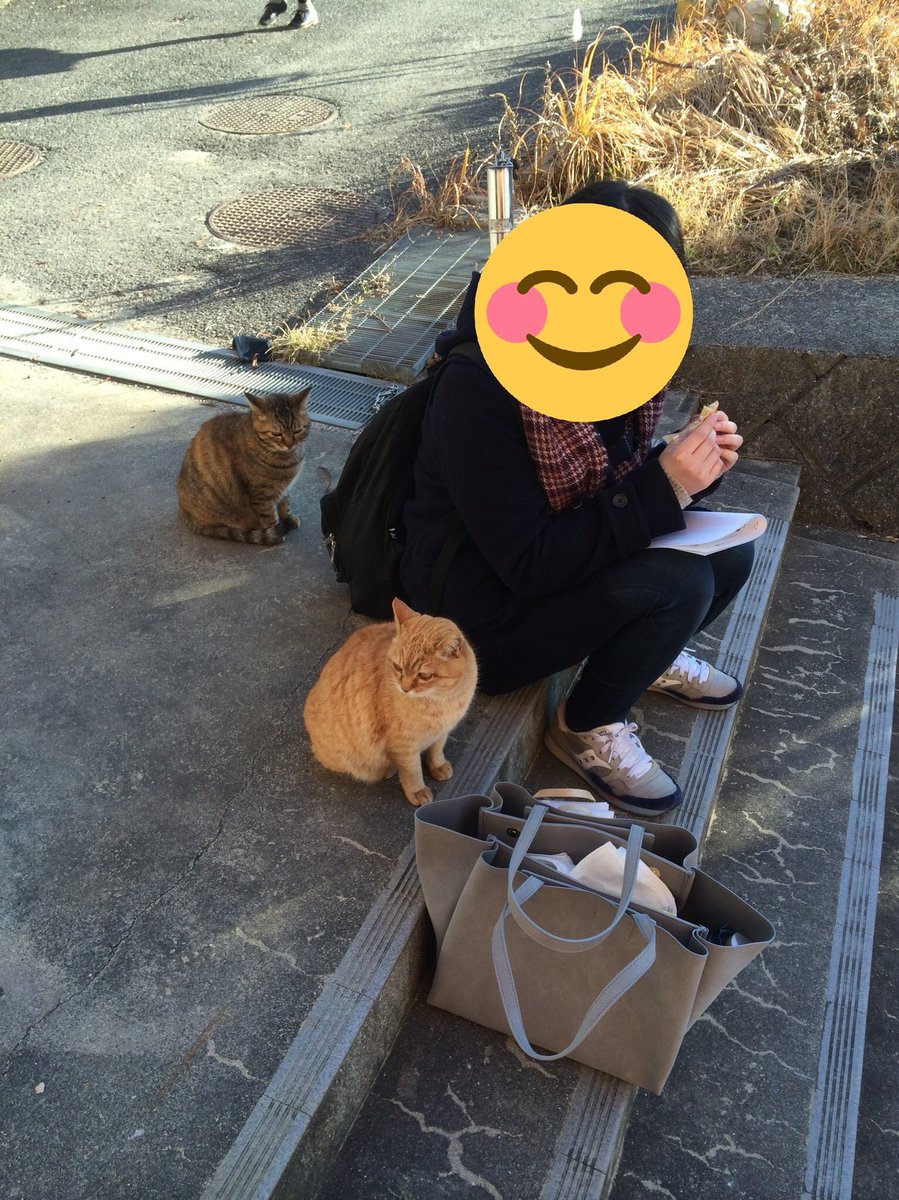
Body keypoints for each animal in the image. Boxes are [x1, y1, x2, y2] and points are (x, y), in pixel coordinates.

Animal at [177, 391, 309, 547]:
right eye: (276, 434)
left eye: (297, 431)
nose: (289, 445)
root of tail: (184, 511)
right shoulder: (262, 495)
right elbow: (270, 517)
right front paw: (277, 532)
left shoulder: (284, 488)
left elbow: (285, 505)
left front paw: (289, 518)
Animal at [303, 597, 477, 806]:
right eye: (398, 667)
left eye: (424, 676)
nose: (404, 688)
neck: (442, 700)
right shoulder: (403, 745)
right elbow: (412, 771)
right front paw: (418, 791)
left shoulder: (442, 731)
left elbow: (436, 750)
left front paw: (438, 765)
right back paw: (387, 770)